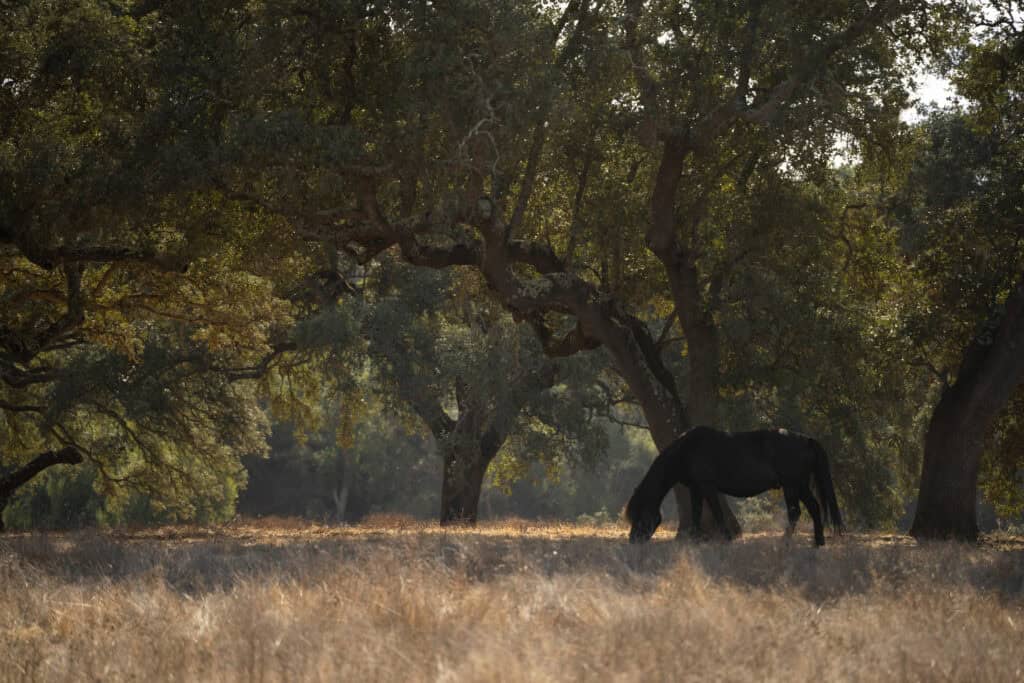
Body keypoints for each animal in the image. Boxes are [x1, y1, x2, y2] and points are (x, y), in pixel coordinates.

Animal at [625, 426, 843, 546]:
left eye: (640, 516)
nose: (633, 540)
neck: (688, 450)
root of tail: (807, 440)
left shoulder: (708, 487)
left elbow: (717, 513)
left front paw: (726, 539)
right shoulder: (696, 489)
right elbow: (696, 514)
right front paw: (695, 540)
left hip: (792, 485)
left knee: (796, 512)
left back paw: (786, 541)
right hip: (799, 485)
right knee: (813, 508)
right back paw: (818, 542)